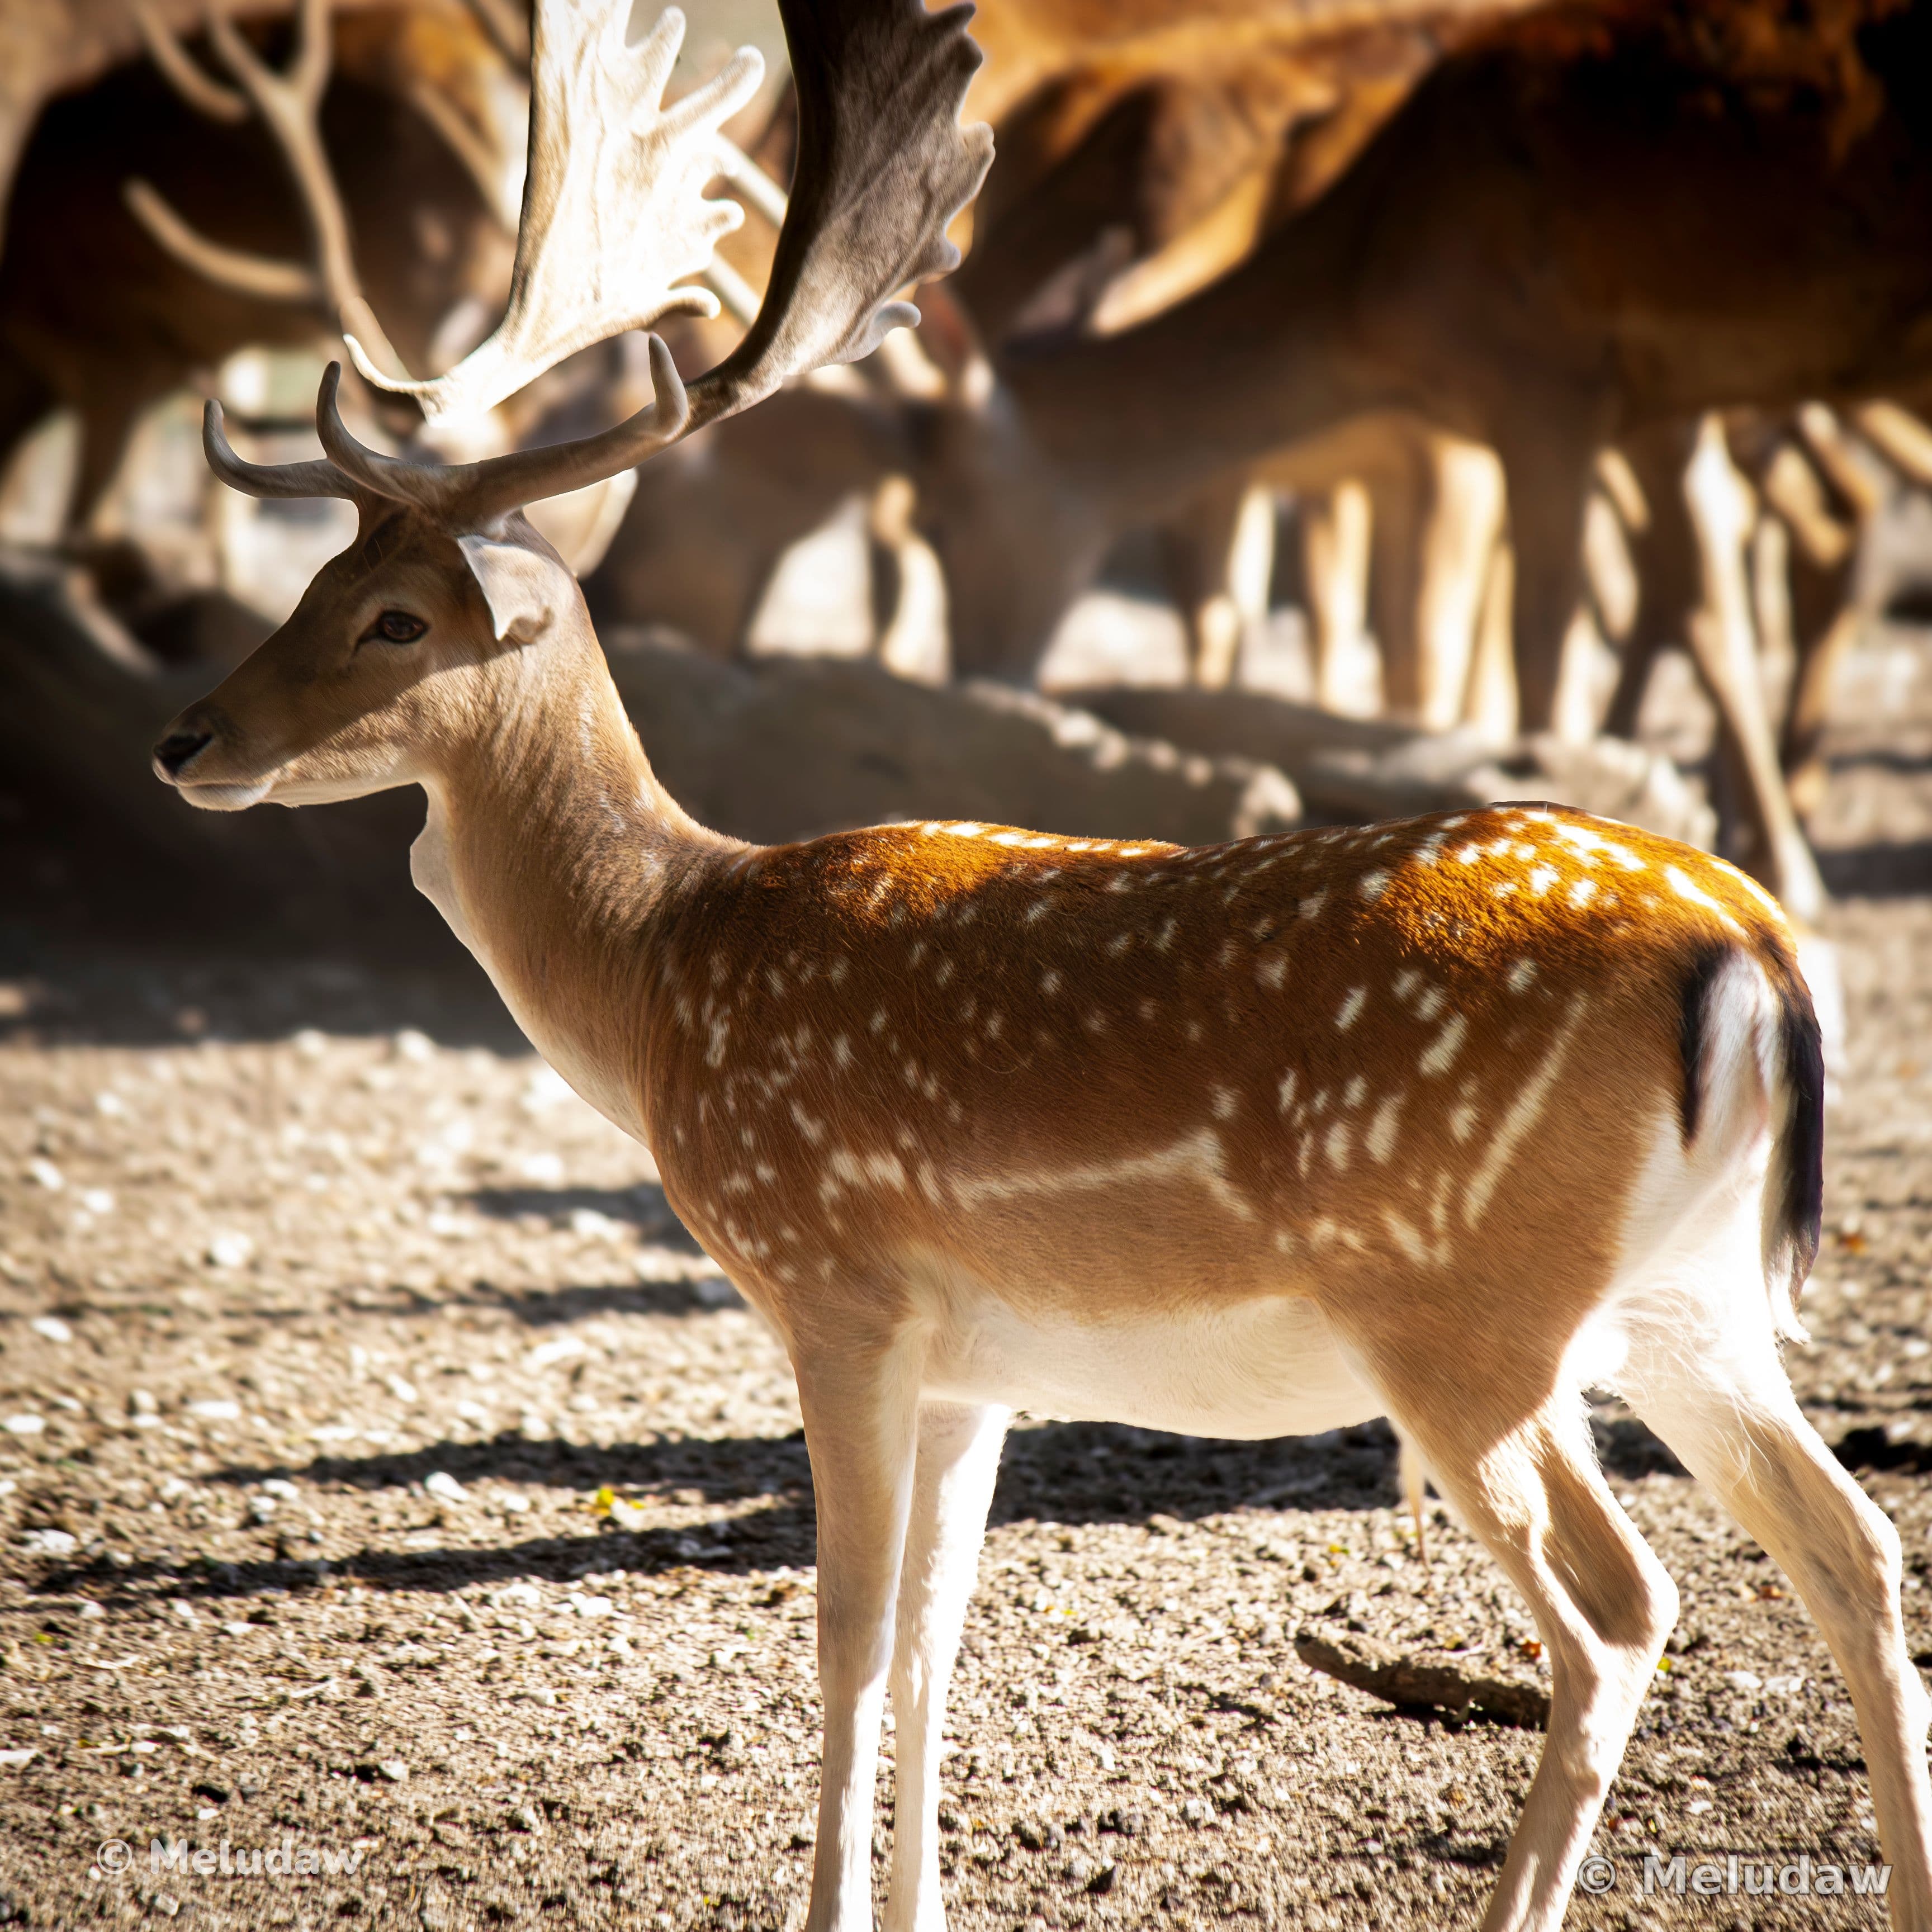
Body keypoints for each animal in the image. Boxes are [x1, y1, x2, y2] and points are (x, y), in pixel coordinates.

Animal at [148, 2, 1932, 1930]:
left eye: (395, 618)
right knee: (1856, 1542)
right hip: (1693, 1296)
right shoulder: (978, 1357)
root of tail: (1751, 958)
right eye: (320, 576)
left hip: (1466, 1304)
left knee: (1619, 1611)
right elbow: (942, 1637)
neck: (664, 966)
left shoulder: (834, 1280)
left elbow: (849, 1638)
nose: (183, 738)